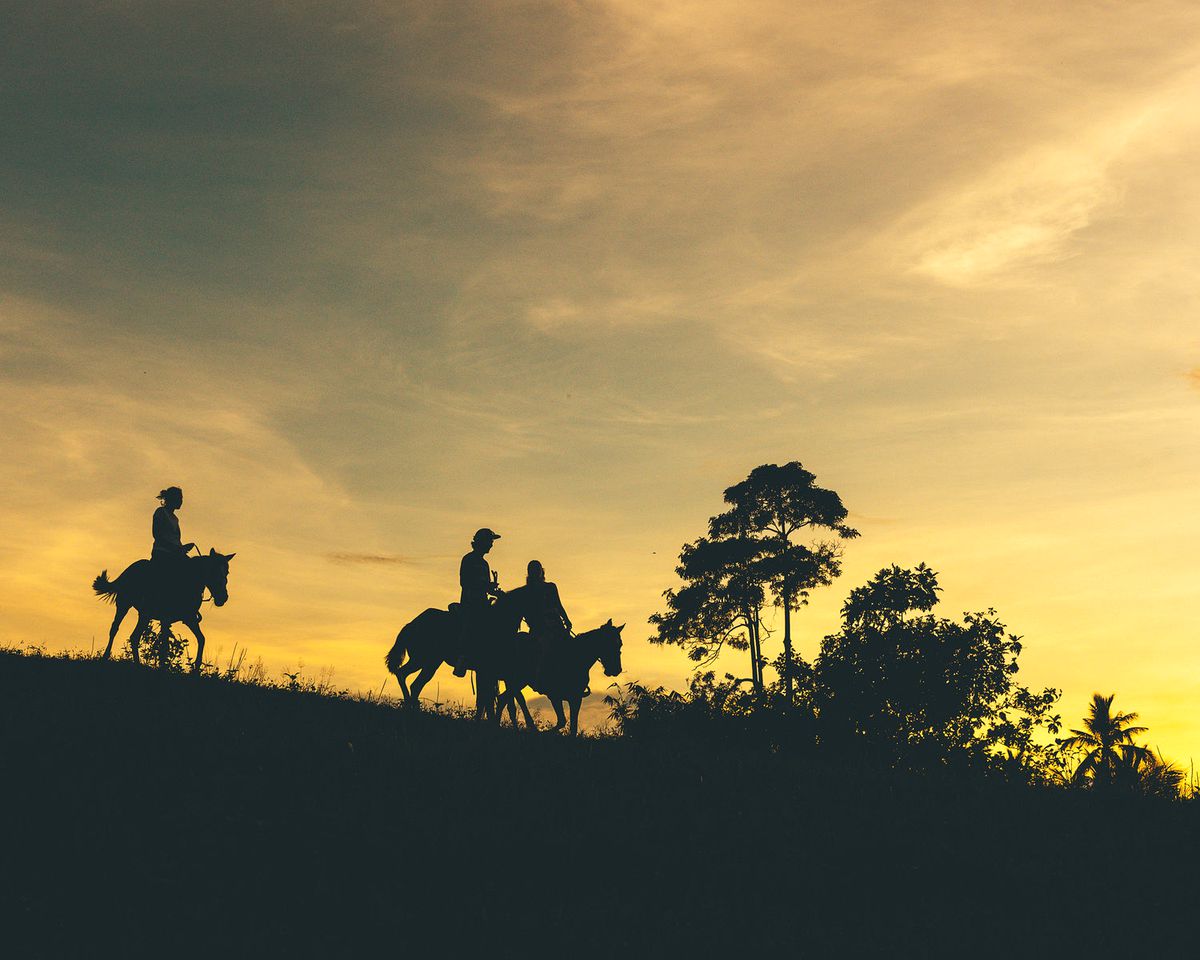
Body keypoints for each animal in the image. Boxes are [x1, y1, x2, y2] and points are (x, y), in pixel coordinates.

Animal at [92, 547, 235, 676]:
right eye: (213, 570)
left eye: (227, 572)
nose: (223, 597)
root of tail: (129, 569)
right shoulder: (166, 618)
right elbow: (164, 645)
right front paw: (163, 668)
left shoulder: (189, 619)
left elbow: (201, 639)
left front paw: (196, 669)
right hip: (124, 605)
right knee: (117, 629)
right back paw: (108, 657)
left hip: (144, 615)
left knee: (132, 635)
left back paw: (133, 664)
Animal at [386, 592, 523, 720]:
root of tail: (411, 624)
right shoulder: (490, 673)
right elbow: (488, 699)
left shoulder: (495, 674)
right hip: (424, 661)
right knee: (409, 679)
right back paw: (410, 706)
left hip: (425, 662)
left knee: (409, 679)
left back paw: (411, 706)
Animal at [496, 624, 628, 734]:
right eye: (607, 643)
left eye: (620, 644)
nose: (616, 669)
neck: (576, 659)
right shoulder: (555, 696)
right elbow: (562, 721)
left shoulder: (576, 698)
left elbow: (573, 727)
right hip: (517, 681)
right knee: (505, 699)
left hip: (514, 682)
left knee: (506, 700)